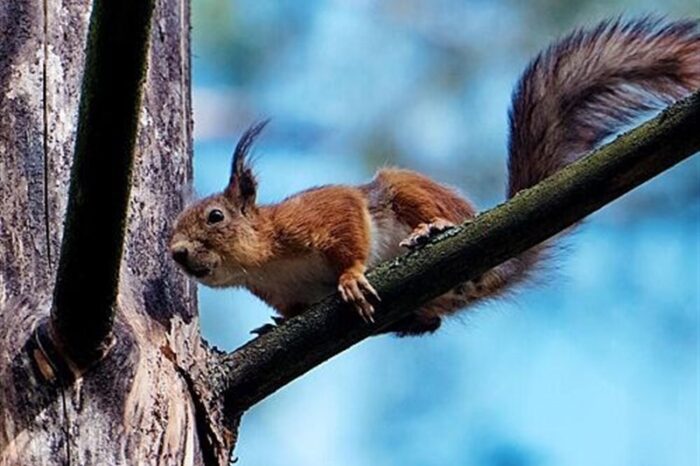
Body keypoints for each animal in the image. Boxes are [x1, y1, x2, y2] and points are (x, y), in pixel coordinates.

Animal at [171, 18, 700, 336]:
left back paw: (433, 229)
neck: (265, 262)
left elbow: (348, 224)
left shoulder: (316, 214)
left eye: (215, 216)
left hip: (407, 189)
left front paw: (350, 277)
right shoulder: (282, 292)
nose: (176, 253)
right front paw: (275, 326)